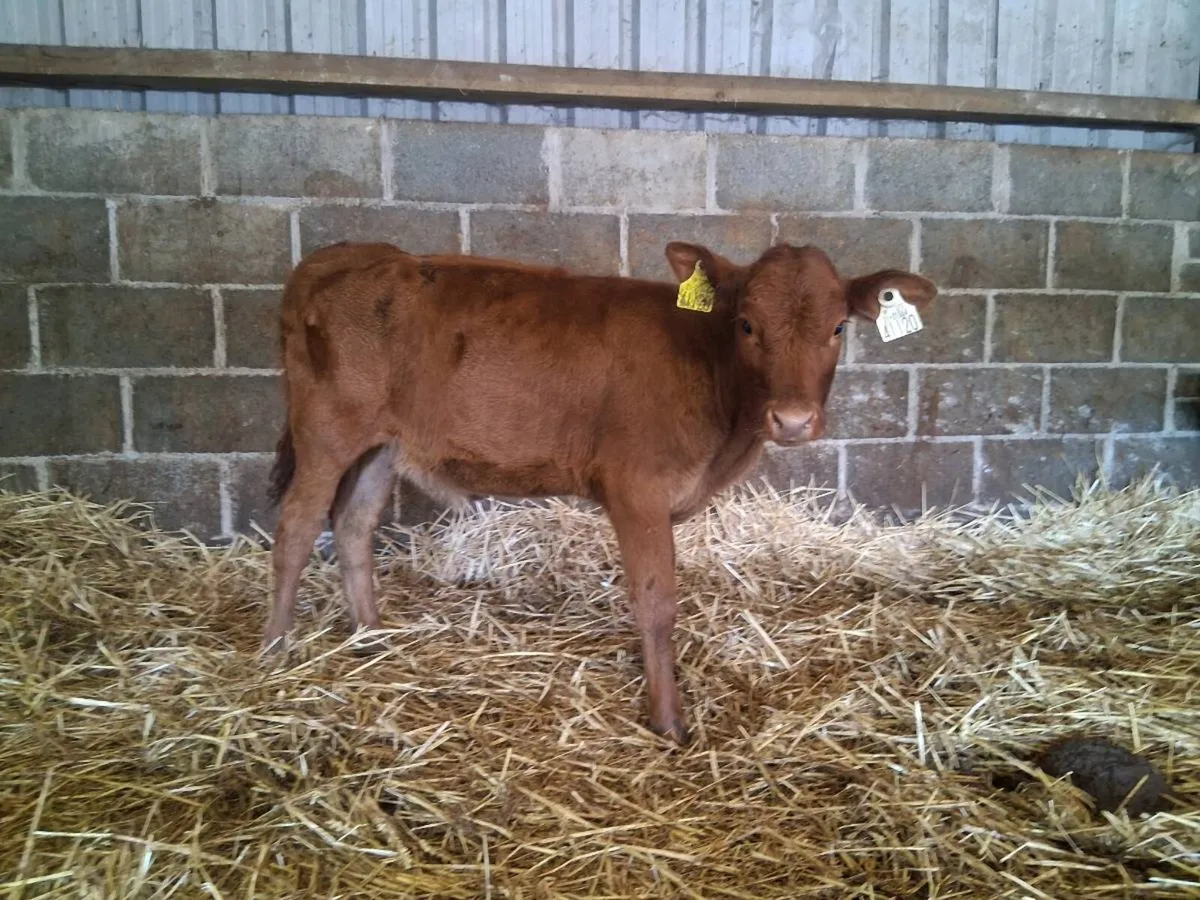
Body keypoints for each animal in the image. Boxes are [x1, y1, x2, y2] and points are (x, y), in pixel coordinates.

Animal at [261, 239, 936, 743]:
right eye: (746, 324)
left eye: (838, 327)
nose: (793, 421)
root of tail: (343, 254)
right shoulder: (637, 488)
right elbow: (657, 603)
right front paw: (669, 721)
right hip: (326, 432)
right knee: (296, 526)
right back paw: (276, 653)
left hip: (383, 444)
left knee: (354, 523)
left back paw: (373, 639)